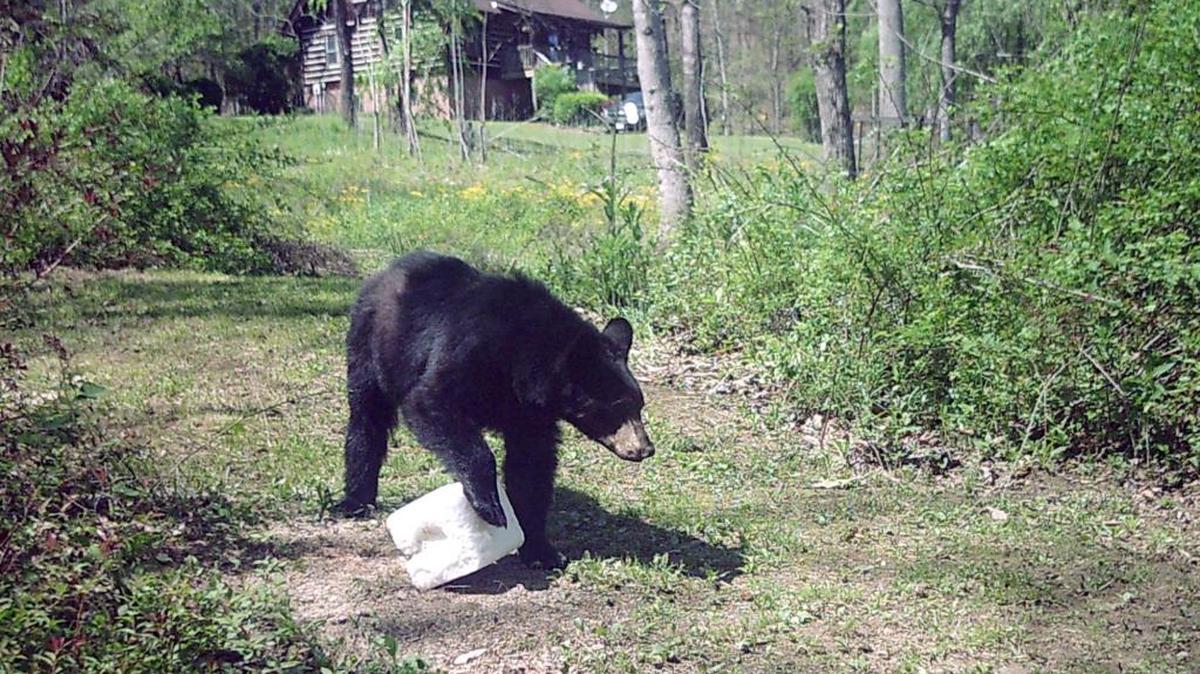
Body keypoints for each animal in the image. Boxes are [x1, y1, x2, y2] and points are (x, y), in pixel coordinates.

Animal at [336, 251, 655, 569]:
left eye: (639, 405)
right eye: (617, 409)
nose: (645, 448)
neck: (523, 358)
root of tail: (383, 274)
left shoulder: (530, 411)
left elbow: (531, 465)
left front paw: (541, 550)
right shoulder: (468, 352)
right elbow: (430, 402)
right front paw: (489, 506)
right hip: (370, 342)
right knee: (367, 417)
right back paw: (356, 500)